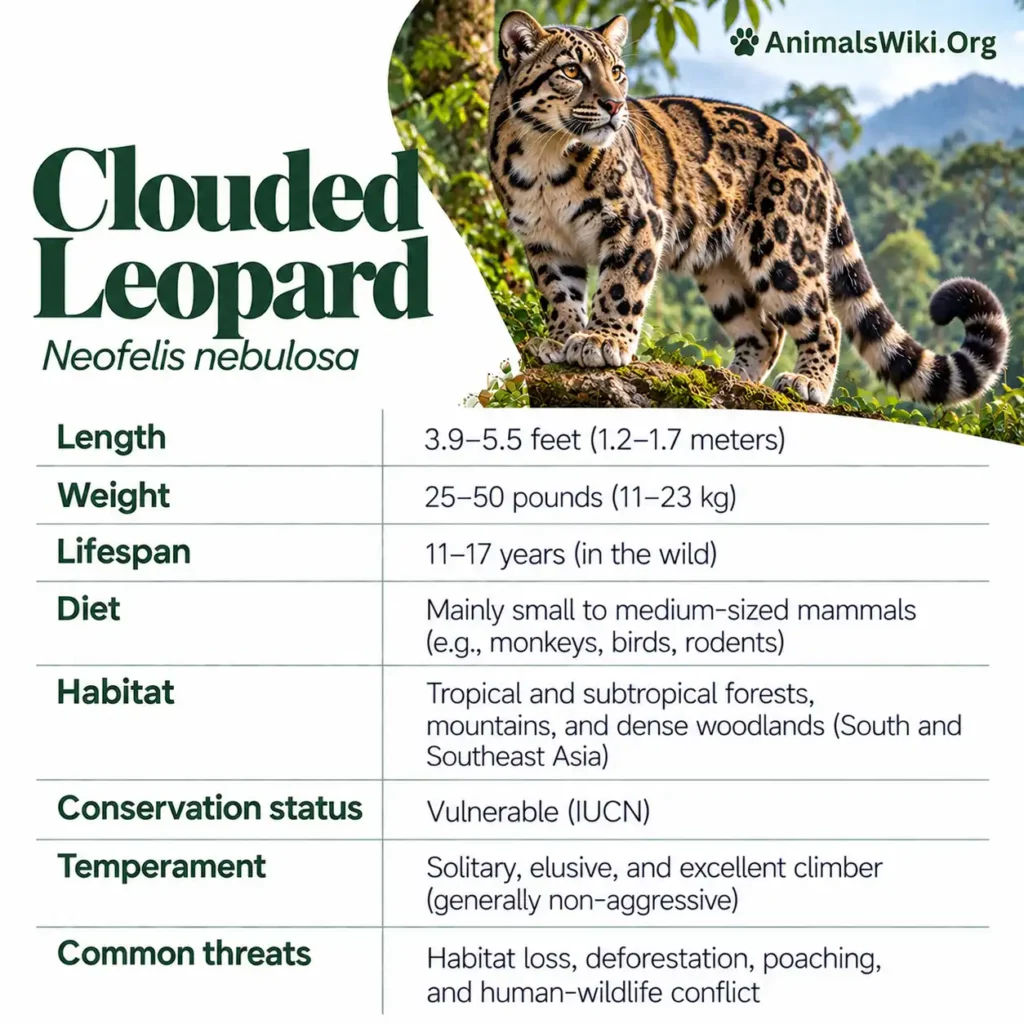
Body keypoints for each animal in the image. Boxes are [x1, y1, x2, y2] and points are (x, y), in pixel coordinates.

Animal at [487, 10, 1010, 405]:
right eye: (571, 71)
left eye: (616, 71)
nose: (616, 105)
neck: (543, 155)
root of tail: (816, 155)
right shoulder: (544, 243)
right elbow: (559, 296)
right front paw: (560, 341)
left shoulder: (638, 223)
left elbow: (619, 288)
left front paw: (602, 342)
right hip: (722, 271)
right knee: (764, 330)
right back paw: (734, 379)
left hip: (782, 250)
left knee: (825, 320)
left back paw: (807, 384)